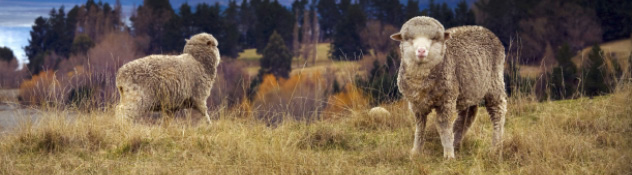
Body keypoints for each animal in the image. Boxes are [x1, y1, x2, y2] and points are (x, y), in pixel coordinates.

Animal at [390, 16, 508, 159]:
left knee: (498, 112)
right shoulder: (416, 104)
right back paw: (456, 142)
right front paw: (416, 151)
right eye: (409, 38)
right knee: (468, 114)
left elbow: (444, 126)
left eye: (434, 38)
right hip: (468, 88)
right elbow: (420, 127)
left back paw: (495, 147)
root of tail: (485, 30)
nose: (421, 51)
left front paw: (448, 154)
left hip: (494, 83)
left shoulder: (446, 100)